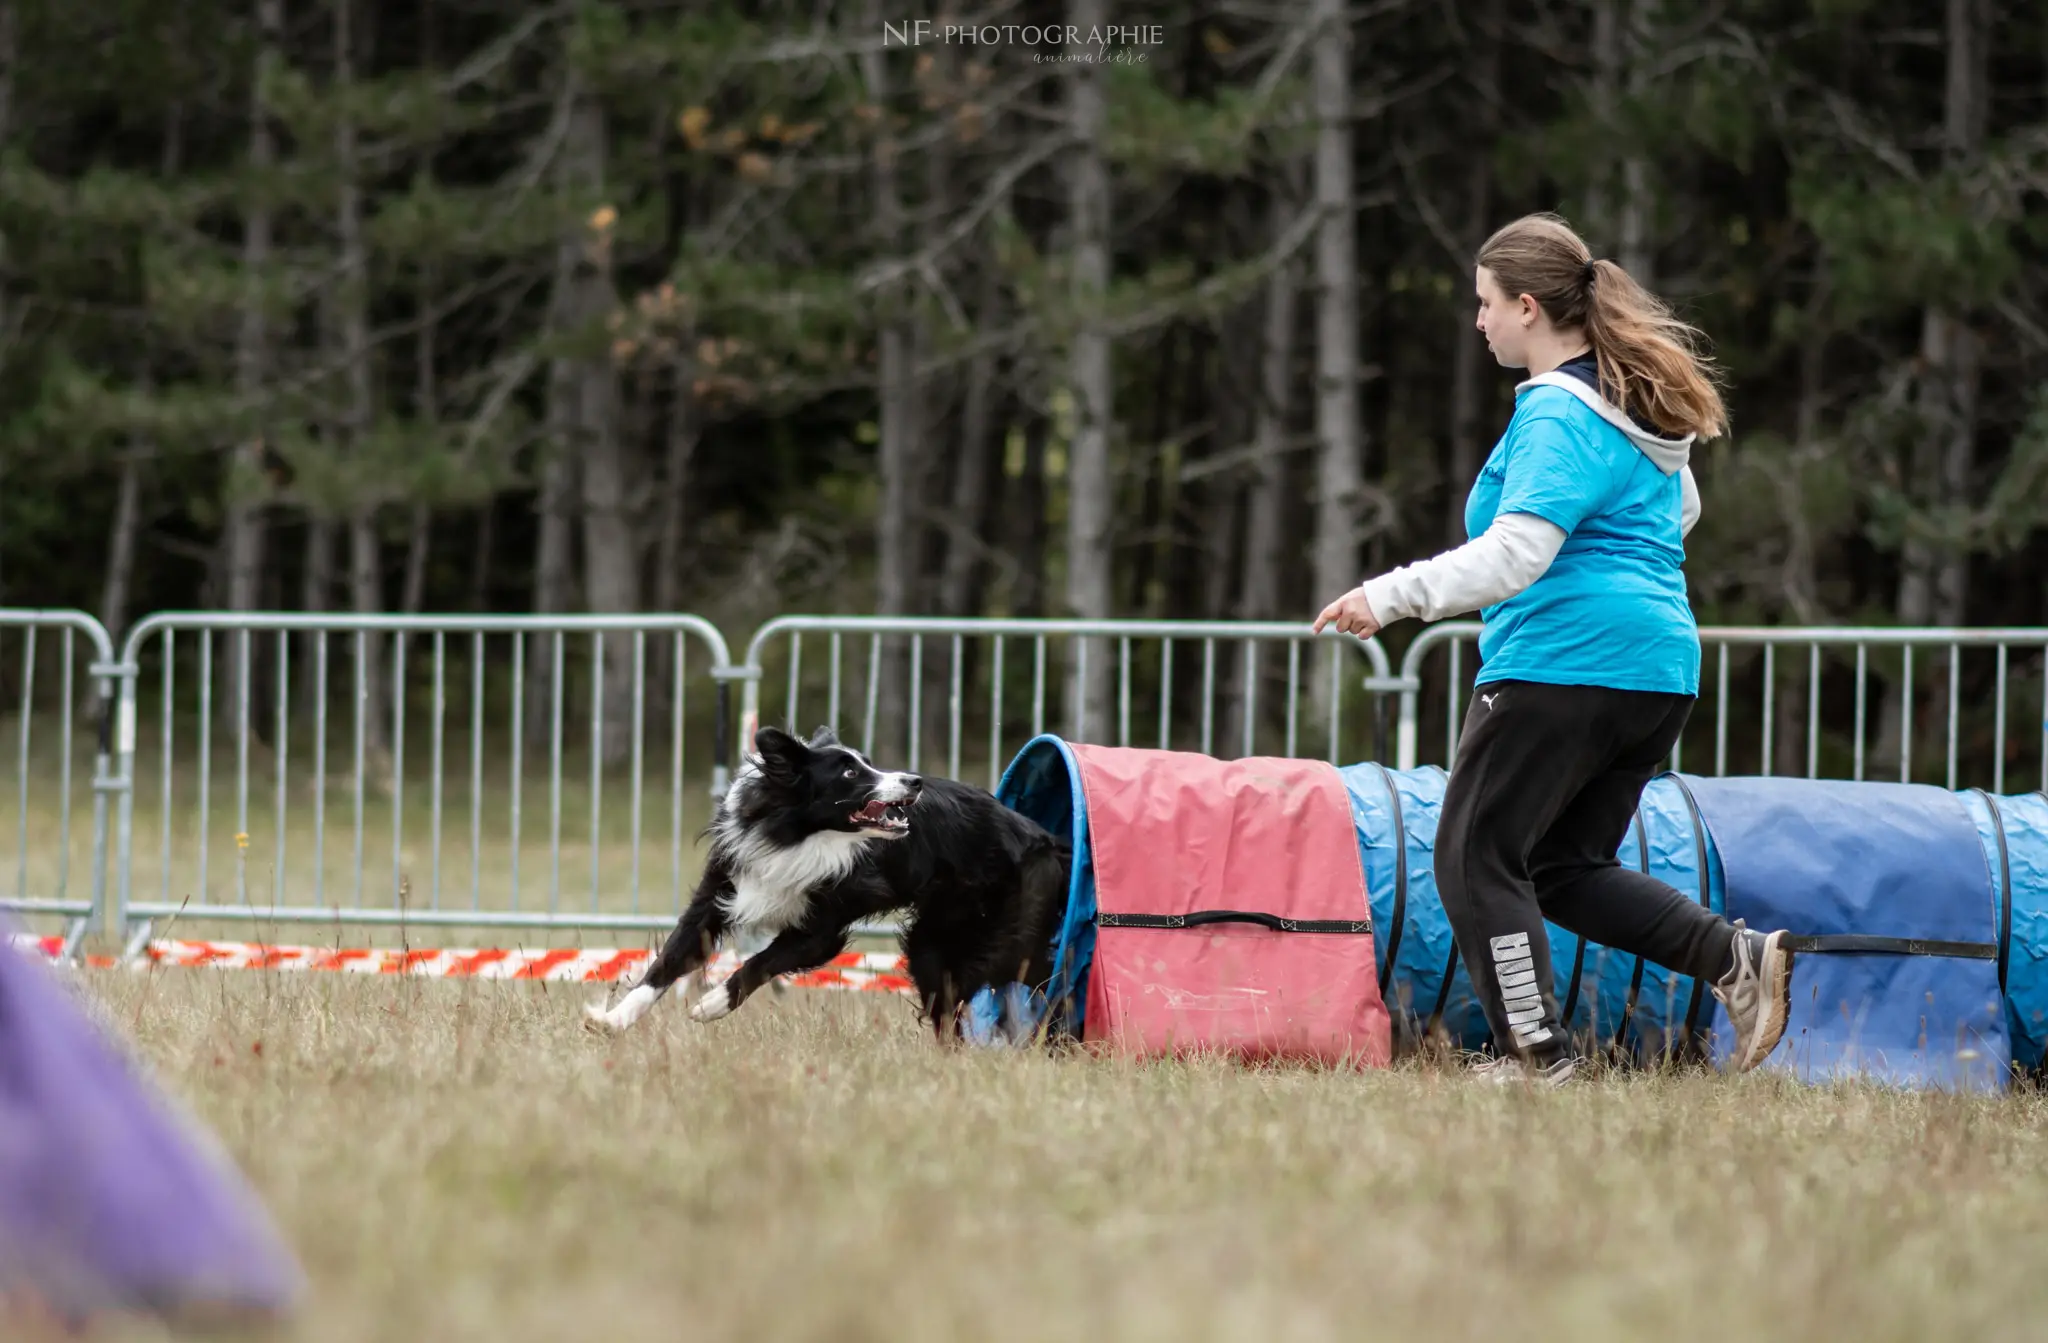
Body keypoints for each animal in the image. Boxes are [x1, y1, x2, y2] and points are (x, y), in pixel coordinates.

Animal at [585, 724, 1073, 1040]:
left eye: (869, 764)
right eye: (851, 772)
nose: (913, 780)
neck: (798, 835)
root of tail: (1045, 840)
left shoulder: (822, 929)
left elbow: (762, 961)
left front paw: (713, 1004)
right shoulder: (719, 893)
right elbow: (665, 963)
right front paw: (612, 1020)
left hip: (986, 927)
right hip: (938, 940)